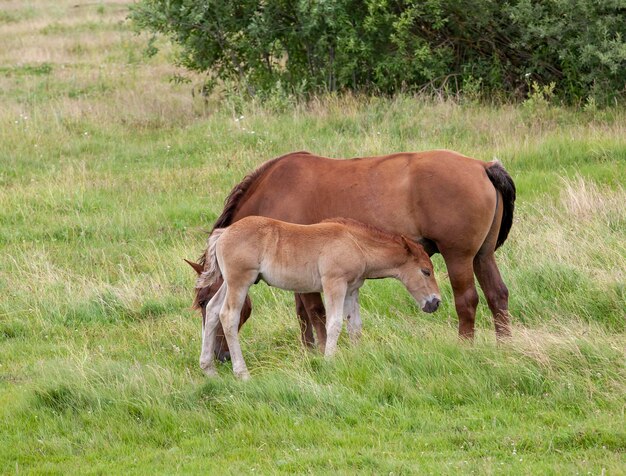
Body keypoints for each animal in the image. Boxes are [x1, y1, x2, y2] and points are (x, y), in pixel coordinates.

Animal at [193, 151, 516, 358]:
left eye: (204, 304)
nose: (219, 355)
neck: (274, 191)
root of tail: (483, 166)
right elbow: (302, 313)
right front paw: (308, 351)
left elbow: (316, 312)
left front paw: (321, 350)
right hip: (482, 256)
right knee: (497, 295)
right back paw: (505, 348)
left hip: (459, 257)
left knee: (467, 301)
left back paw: (465, 348)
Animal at [195, 216, 438, 380]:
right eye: (426, 271)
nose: (435, 302)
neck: (355, 242)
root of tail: (224, 233)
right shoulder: (334, 283)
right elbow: (334, 323)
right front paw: (329, 362)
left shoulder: (351, 289)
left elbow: (355, 326)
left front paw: (356, 358)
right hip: (240, 281)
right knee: (229, 316)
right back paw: (242, 373)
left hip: (228, 282)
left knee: (213, 310)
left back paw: (209, 370)